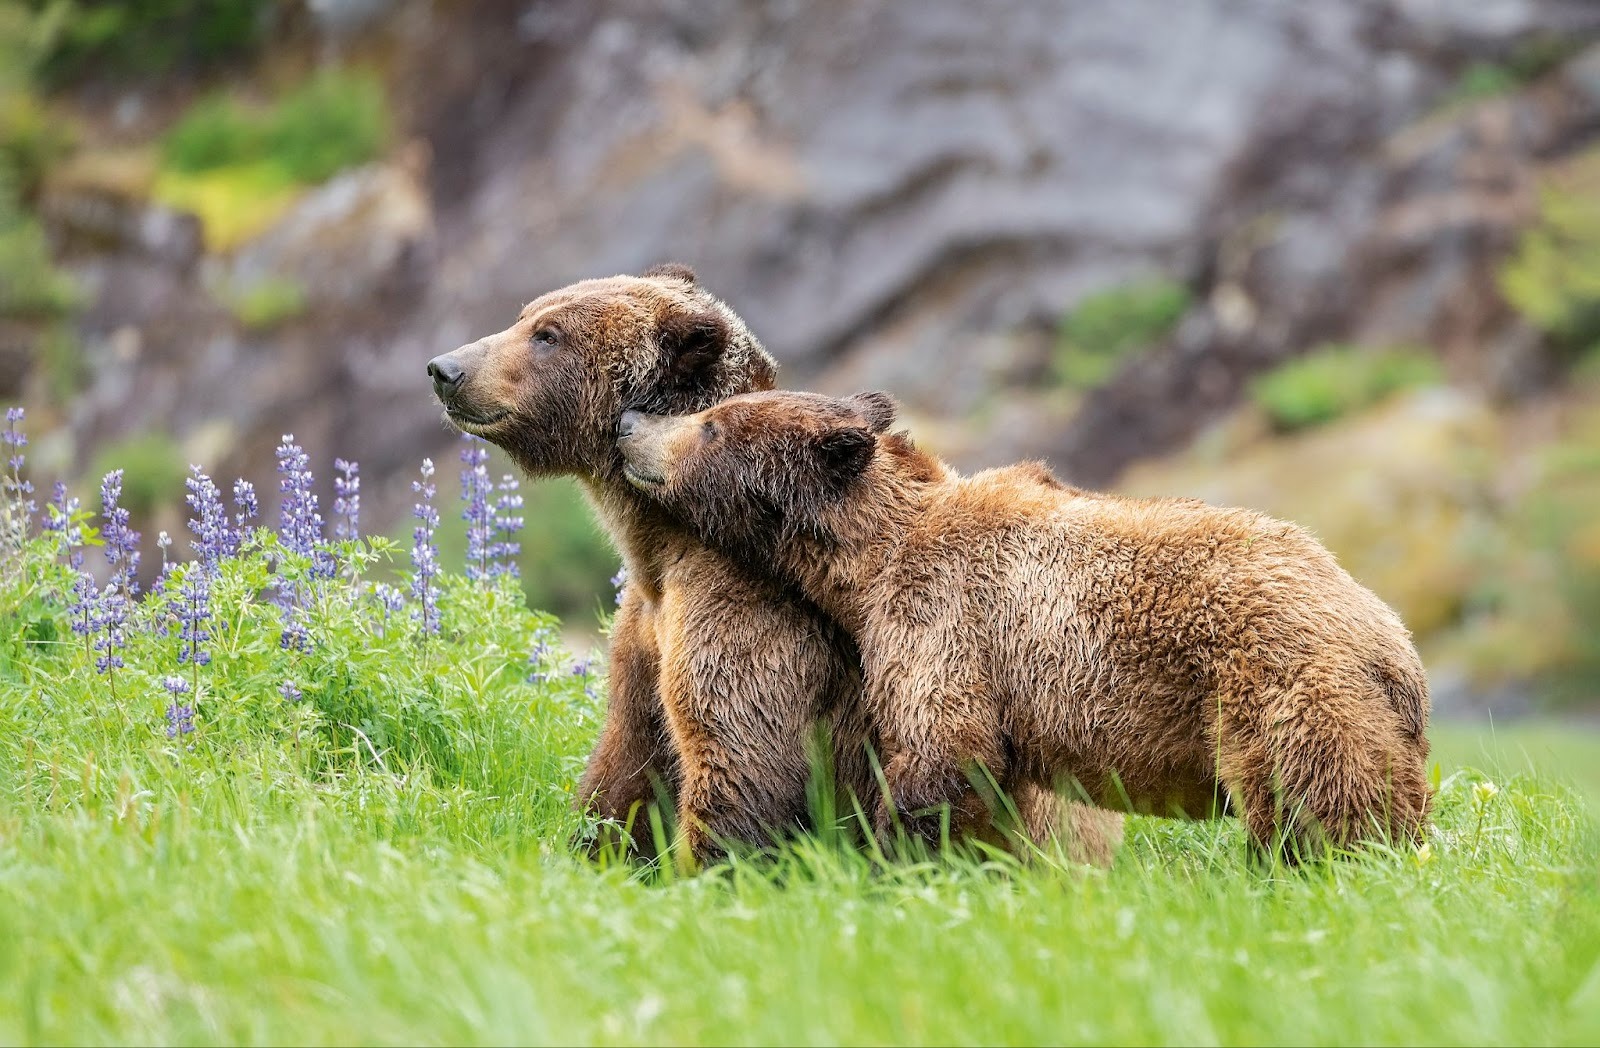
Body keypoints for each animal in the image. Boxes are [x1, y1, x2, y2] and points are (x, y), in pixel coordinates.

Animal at [425, 267, 1123, 864]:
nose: (445, 368)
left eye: (548, 335)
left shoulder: (749, 613)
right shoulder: (644, 635)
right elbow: (627, 764)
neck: (658, 545)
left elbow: (741, 757)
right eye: (526, 315)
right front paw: (589, 851)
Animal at [613, 388, 1434, 855]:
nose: (628, 422)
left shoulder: (941, 625)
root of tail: (1393, 641)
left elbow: (941, 756)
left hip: (1277, 683)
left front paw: (898, 860)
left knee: (1320, 805)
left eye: (710, 425)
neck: (867, 566)